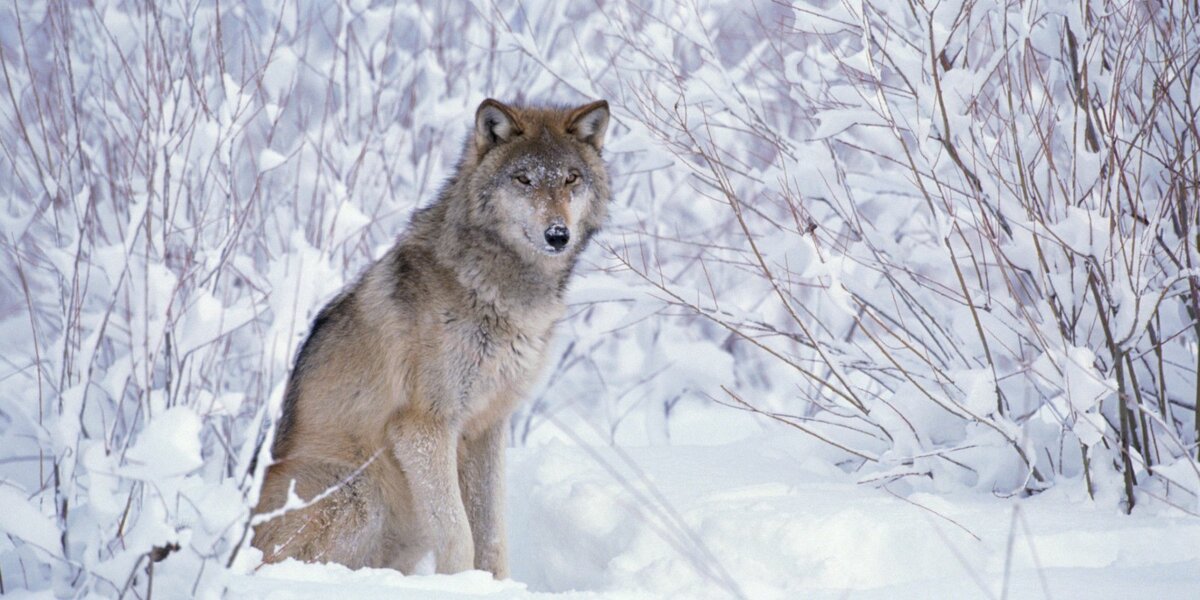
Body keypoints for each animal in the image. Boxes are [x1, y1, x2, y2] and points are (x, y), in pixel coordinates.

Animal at [250, 98, 611, 578]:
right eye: (524, 179)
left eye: (571, 179)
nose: (557, 234)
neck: (498, 291)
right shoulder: (423, 427)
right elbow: (459, 534)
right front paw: (460, 584)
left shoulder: (486, 428)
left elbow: (491, 536)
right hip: (359, 492)